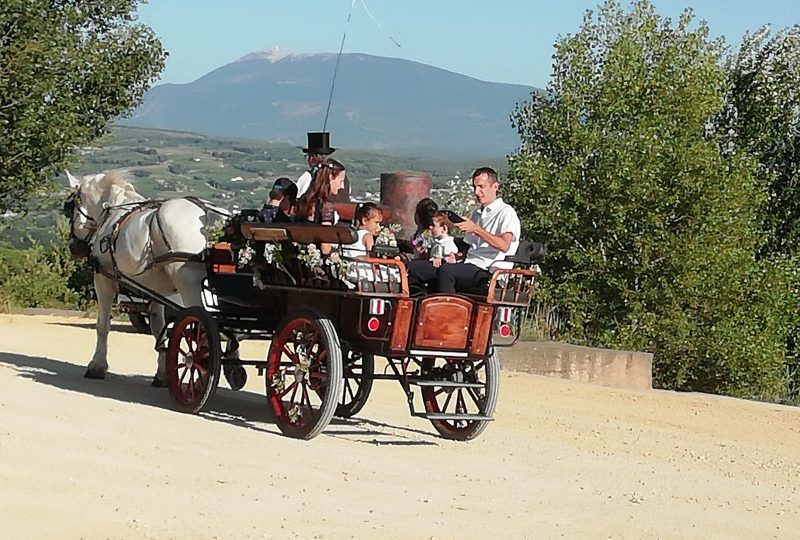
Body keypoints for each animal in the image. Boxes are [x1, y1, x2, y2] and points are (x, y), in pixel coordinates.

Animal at [64, 171, 227, 386]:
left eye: (69, 207)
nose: (74, 247)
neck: (111, 215)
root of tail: (207, 215)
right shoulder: (155, 292)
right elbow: (159, 329)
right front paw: (162, 374)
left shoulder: (104, 280)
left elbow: (103, 326)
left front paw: (97, 366)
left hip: (190, 286)